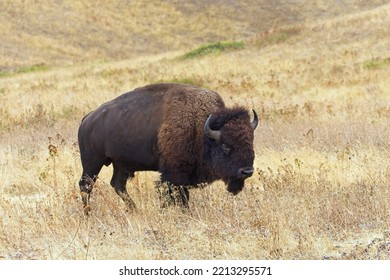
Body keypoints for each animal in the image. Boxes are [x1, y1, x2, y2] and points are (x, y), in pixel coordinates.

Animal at [77, 82, 258, 213]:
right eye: (226, 145)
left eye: (250, 142)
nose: (247, 171)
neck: (199, 128)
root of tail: (88, 118)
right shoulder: (174, 174)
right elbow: (178, 196)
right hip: (93, 161)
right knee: (86, 185)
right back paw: (88, 213)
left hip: (119, 164)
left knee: (118, 184)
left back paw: (134, 210)